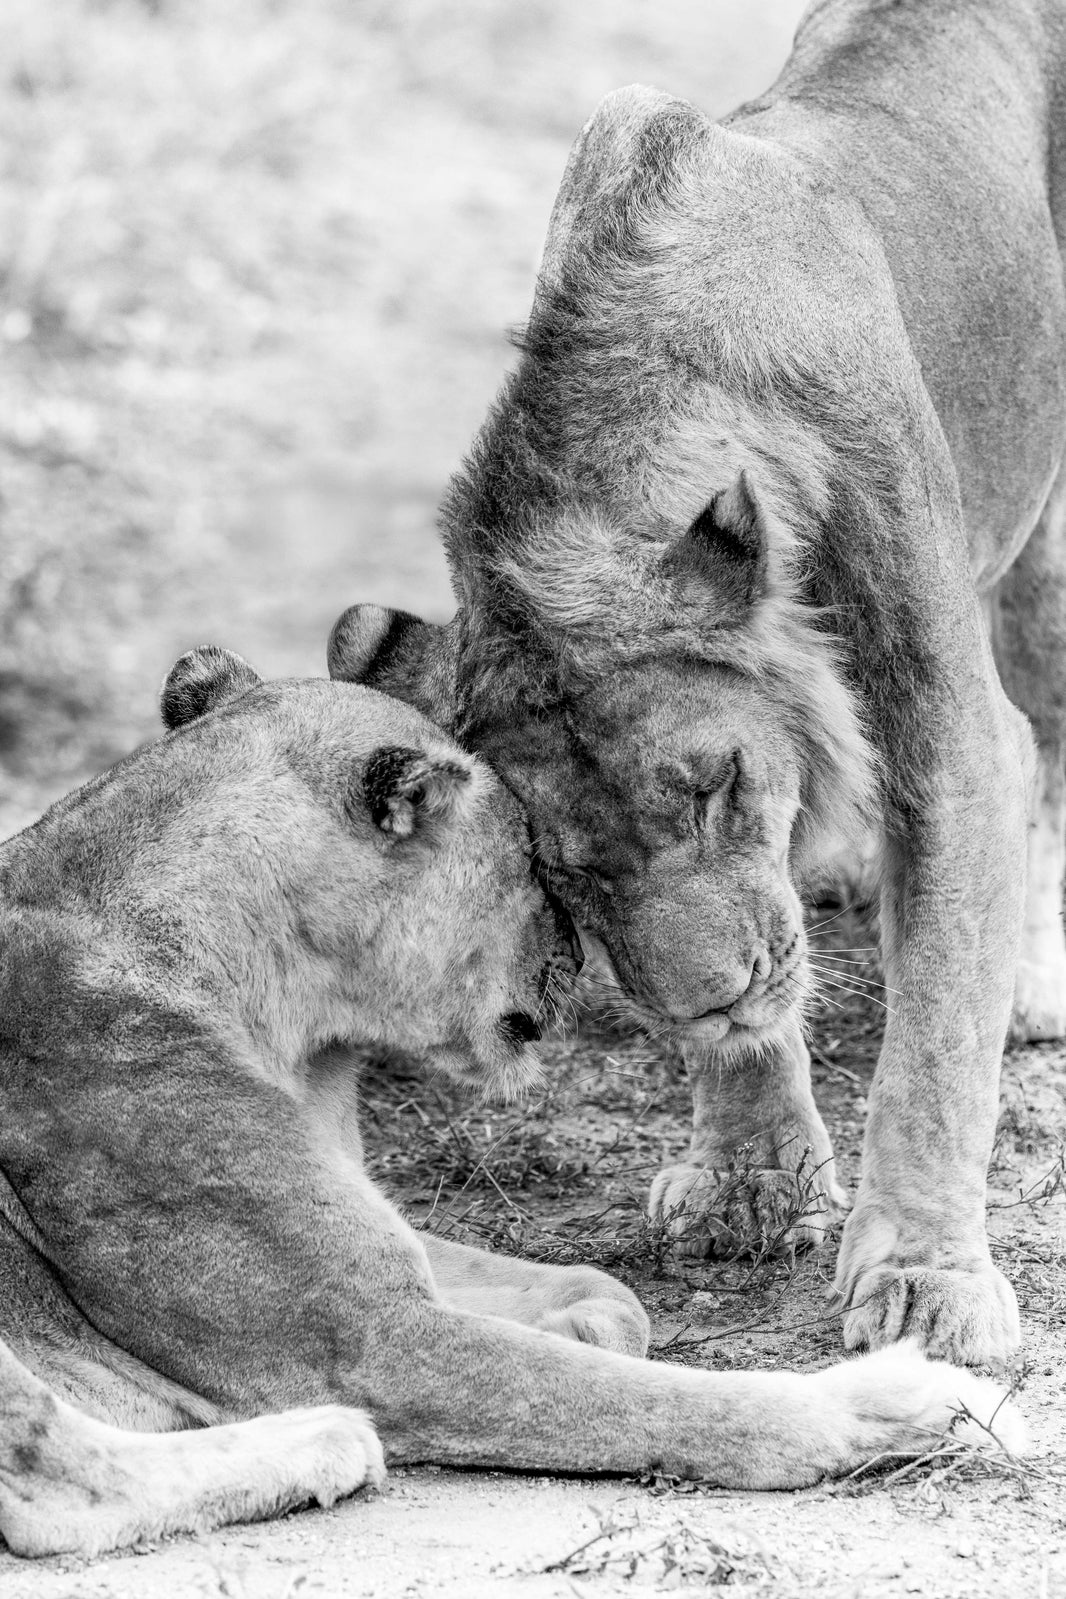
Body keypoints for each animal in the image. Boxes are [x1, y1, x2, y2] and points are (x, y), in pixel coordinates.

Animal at [0, 644, 1022, 1558]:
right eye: (539, 868)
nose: (576, 954)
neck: (295, 1027)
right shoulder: (364, 1344)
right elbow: (660, 1400)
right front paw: (895, 1402)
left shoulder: (388, 1255)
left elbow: (596, 1293)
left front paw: (583, 1320)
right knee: (54, 1483)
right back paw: (321, 1441)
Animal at [325, 0, 1066, 1369]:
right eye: (565, 875)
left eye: (719, 787)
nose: (708, 998)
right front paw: (748, 1182)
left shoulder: (944, 725)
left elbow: (937, 1033)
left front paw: (924, 1281)